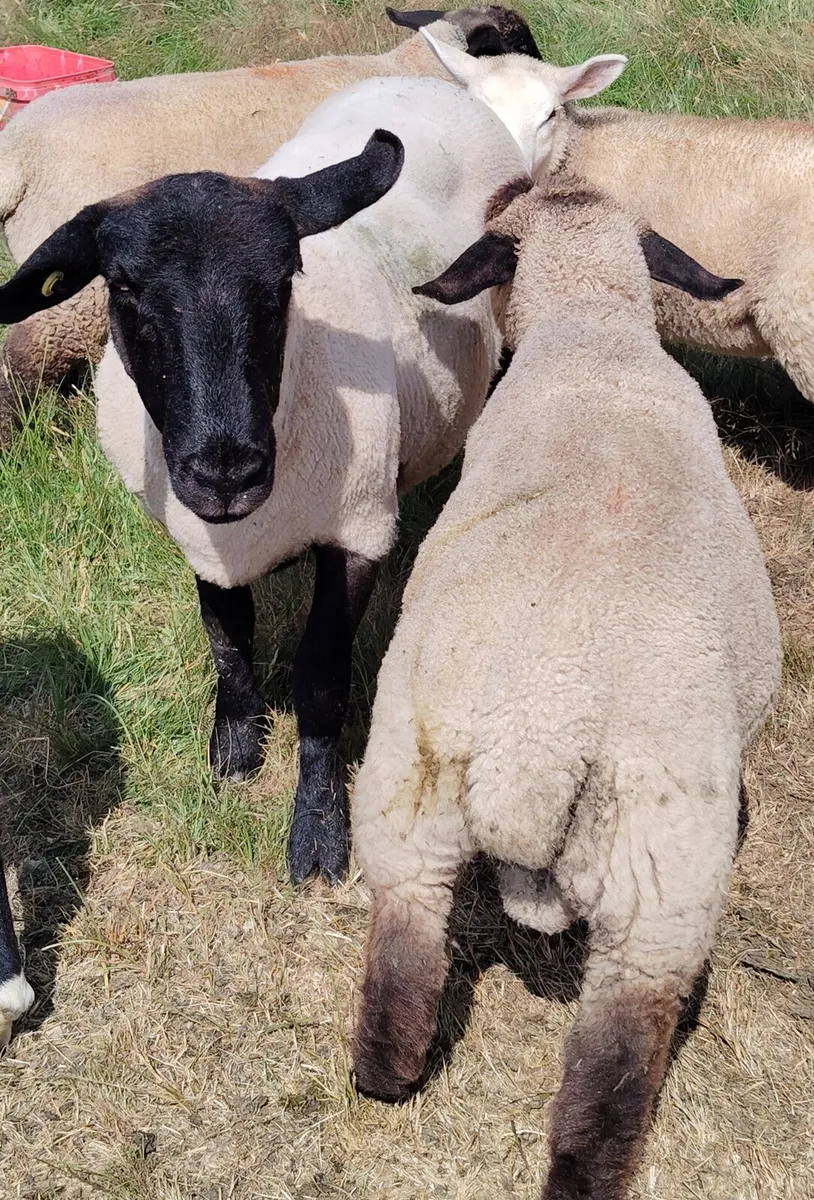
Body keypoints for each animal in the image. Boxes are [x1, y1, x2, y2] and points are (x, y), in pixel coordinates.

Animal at [0, 75, 528, 884]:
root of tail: (425, 81)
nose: (227, 471)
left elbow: (321, 681)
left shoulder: (356, 532)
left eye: (284, 281)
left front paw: (318, 830)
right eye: (121, 287)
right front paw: (234, 748)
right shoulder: (200, 539)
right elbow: (227, 637)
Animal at [351, 176, 781, 1199]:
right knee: (619, 1054)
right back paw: (584, 1172)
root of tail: (537, 736)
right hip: (664, 880)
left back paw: (384, 1075)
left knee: (404, 944)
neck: (593, 329)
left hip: (409, 778)